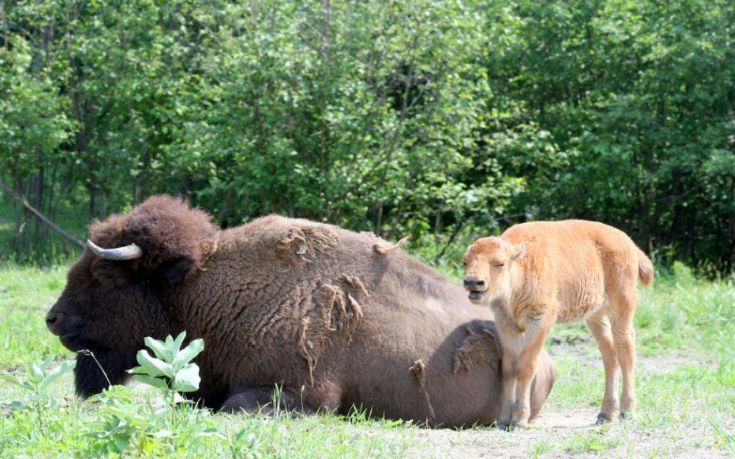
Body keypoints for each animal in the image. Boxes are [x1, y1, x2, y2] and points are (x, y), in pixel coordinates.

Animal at [46, 196, 556, 430]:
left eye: (104, 275)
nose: (53, 319)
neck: (205, 289)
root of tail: (549, 362)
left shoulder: (301, 393)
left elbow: (234, 405)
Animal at [462, 221, 652, 430]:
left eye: (500, 263)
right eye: (465, 262)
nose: (473, 282)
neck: (521, 265)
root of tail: (629, 244)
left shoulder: (540, 320)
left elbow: (525, 367)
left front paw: (519, 420)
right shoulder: (505, 324)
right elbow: (509, 368)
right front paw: (503, 420)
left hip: (622, 305)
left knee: (625, 348)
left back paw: (627, 411)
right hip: (596, 315)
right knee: (609, 353)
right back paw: (606, 414)